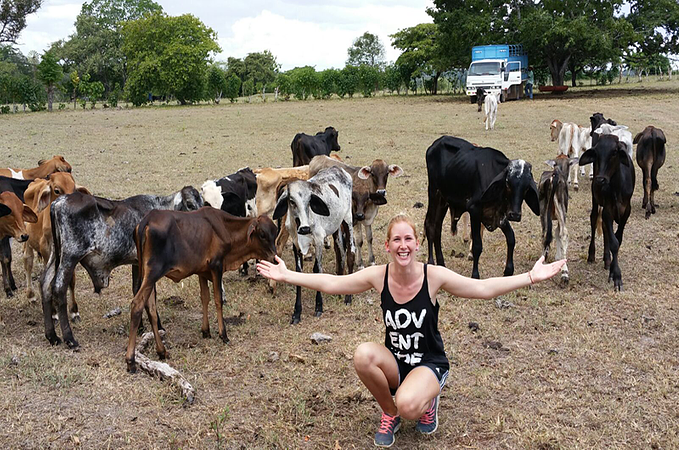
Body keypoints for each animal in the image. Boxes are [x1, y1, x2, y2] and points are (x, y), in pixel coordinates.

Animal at [39, 186, 203, 348]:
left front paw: (140, 327)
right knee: (59, 288)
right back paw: (69, 338)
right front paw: (159, 327)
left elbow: (137, 290)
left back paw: (52, 336)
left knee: (45, 284)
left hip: (55, 255)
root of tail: (59, 202)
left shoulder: (137, 263)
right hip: (70, 256)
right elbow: (150, 295)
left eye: (202, 202)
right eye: (190, 204)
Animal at [126, 209, 278, 370]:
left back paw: (162, 351)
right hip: (153, 273)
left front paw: (206, 331)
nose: (275, 259)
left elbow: (205, 298)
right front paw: (223, 334)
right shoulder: (216, 265)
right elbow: (218, 299)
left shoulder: (202, 271)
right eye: (262, 234)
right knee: (137, 305)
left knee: (151, 309)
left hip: (147, 275)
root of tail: (146, 220)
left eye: (275, 233)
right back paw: (131, 360)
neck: (226, 228)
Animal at [272, 166, 356, 324]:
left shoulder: (318, 240)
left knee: (351, 252)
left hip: (347, 219)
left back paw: (348, 297)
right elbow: (298, 273)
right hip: (336, 227)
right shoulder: (296, 244)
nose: (305, 229)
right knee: (341, 250)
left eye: (309, 200)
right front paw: (296, 313)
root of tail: (338, 168)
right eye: (291, 201)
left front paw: (319, 307)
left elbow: (317, 269)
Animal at [424, 135, 540, 280]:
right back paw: (431, 262)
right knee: (430, 224)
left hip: (443, 200)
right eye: (508, 182)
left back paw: (442, 265)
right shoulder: (474, 211)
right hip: (434, 193)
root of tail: (436, 143)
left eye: (526, 187)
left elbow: (511, 238)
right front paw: (475, 275)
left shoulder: (500, 216)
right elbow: (477, 246)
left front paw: (508, 271)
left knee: (437, 228)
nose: (515, 215)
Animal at [580, 133, 636, 292]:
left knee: (605, 229)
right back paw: (591, 255)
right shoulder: (607, 210)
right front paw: (616, 275)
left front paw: (611, 268)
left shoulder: (626, 211)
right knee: (594, 220)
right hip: (595, 200)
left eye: (614, 152)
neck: (617, 187)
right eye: (596, 154)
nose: (600, 180)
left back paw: (606, 260)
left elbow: (617, 239)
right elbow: (614, 243)